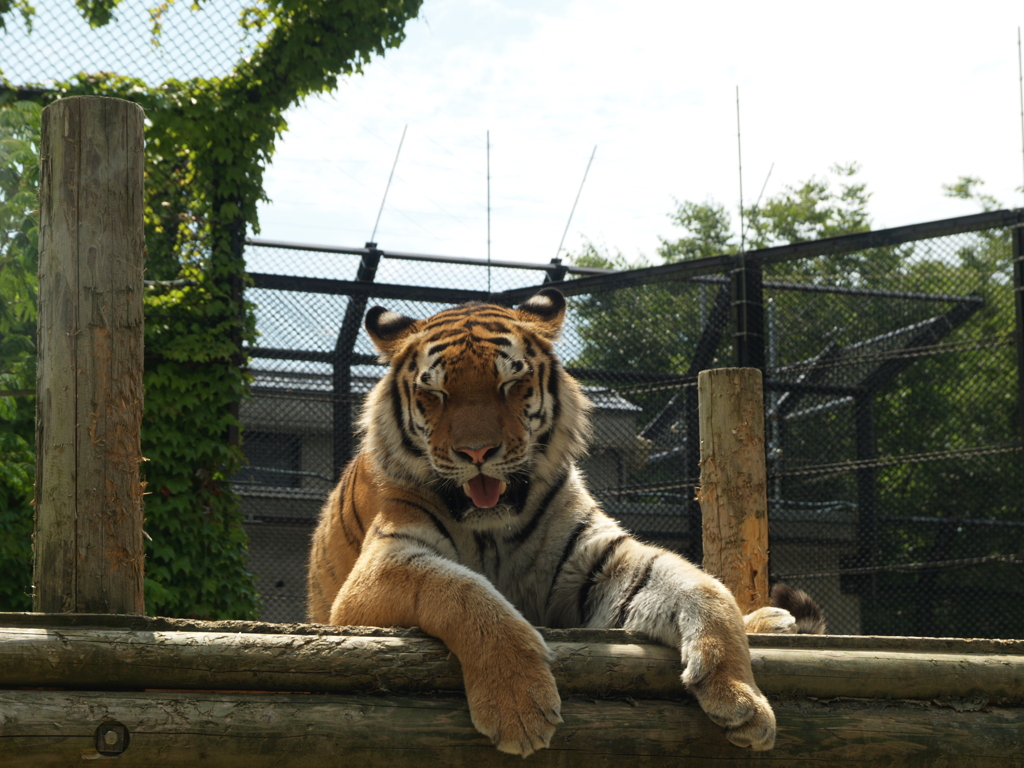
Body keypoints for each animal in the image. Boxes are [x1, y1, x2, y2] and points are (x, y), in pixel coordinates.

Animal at [307, 286, 794, 757]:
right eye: (436, 395)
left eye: (511, 383)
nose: (477, 453)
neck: (493, 529)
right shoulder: (383, 564)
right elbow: (463, 590)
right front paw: (518, 706)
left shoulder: (600, 561)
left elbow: (700, 585)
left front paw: (741, 696)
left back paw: (772, 619)